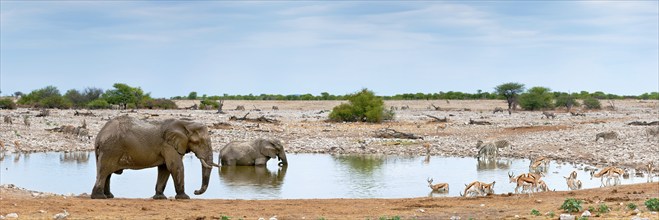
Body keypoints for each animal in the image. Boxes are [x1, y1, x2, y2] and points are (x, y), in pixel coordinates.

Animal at [91, 115, 219, 199]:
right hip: (110, 149)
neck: (185, 123)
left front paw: (160, 198)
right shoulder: (168, 145)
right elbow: (175, 167)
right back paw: (99, 197)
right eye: (199, 142)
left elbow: (165, 168)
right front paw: (185, 198)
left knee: (107, 173)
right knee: (104, 171)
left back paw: (109, 196)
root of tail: (100, 135)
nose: (195, 191)